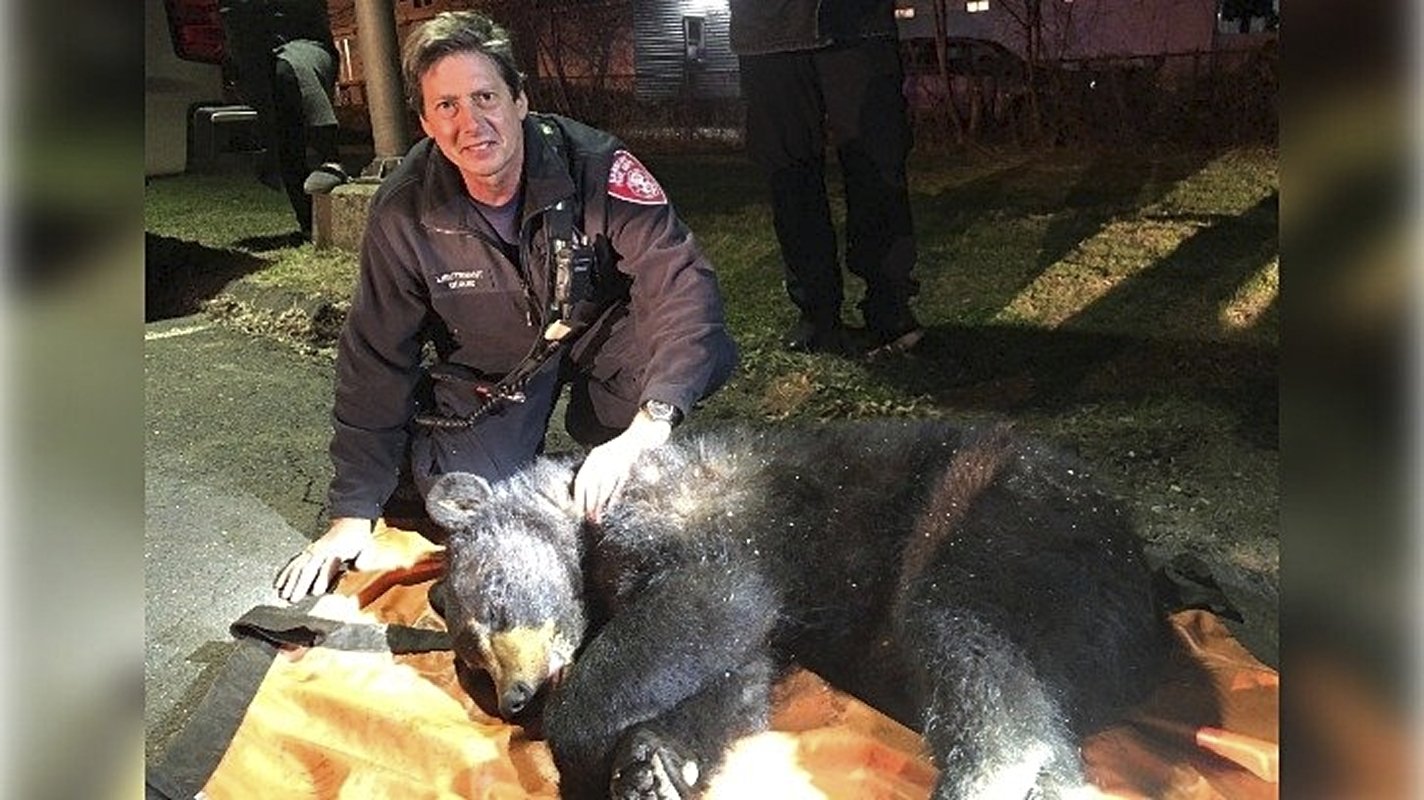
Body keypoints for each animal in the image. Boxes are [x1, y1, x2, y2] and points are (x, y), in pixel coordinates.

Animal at [424, 421, 1167, 791]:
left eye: (493, 610)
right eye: (473, 666)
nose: (516, 699)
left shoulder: (705, 517)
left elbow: (714, 600)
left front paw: (583, 751)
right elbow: (737, 677)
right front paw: (655, 765)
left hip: (999, 517)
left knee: (970, 652)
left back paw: (983, 774)